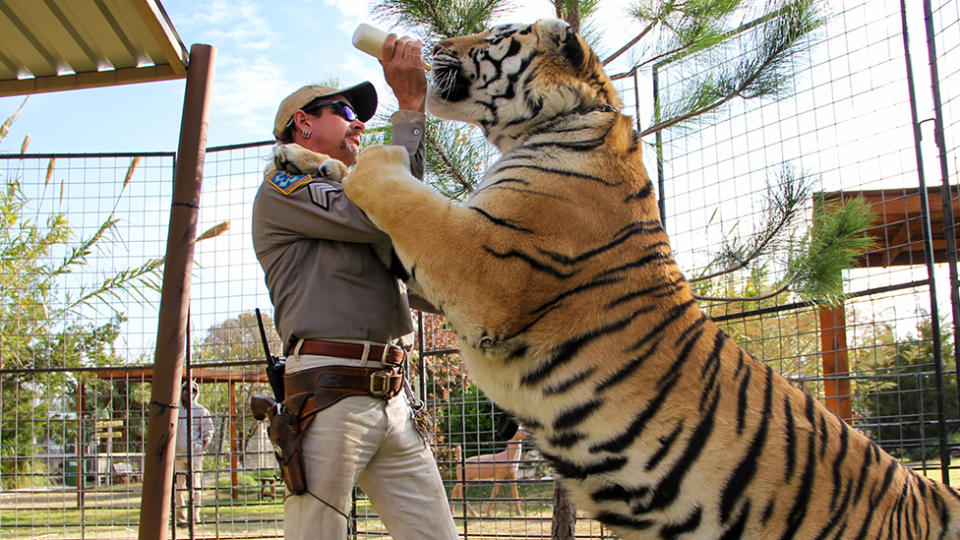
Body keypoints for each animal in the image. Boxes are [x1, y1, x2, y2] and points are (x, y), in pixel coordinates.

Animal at [330, 19, 960, 536]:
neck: (555, 121)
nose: (434, 45)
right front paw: (320, 160)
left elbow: (404, 197)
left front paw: (366, 158)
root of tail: (927, 494)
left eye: (493, 36)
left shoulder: (483, 262)